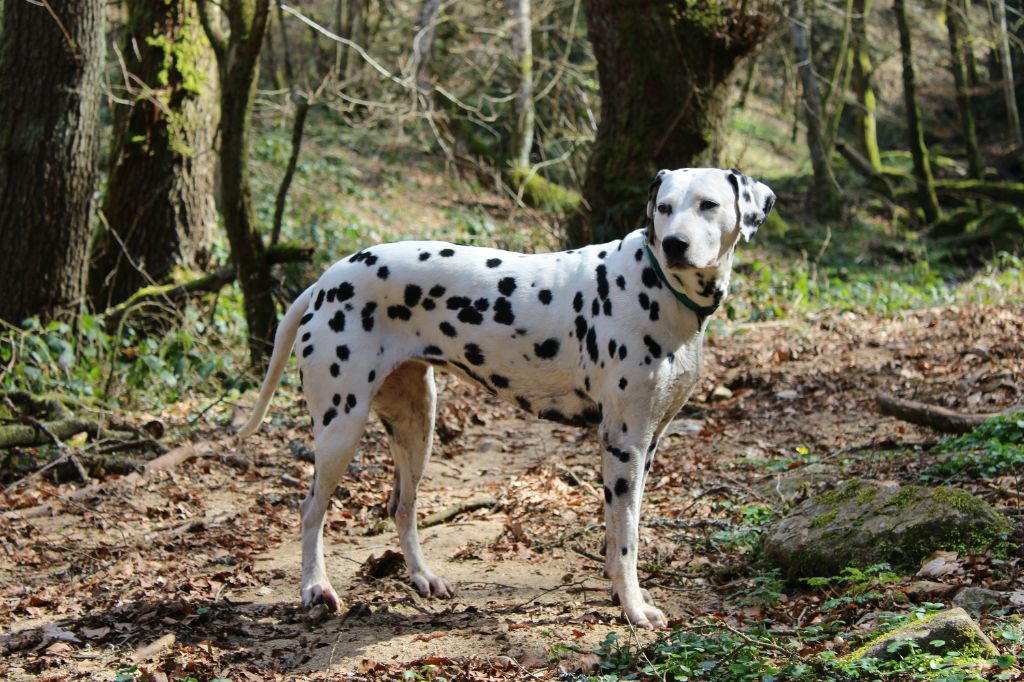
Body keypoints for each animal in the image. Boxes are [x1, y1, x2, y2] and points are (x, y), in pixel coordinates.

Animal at [235, 165, 770, 626]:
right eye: (664, 207)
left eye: (707, 204)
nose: (676, 244)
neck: (656, 285)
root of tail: (324, 282)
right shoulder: (625, 443)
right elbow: (627, 541)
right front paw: (635, 609)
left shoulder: (646, 446)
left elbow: (621, 529)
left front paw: (620, 593)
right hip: (340, 430)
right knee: (311, 511)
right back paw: (314, 588)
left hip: (416, 424)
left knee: (402, 507)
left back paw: (422, 577)